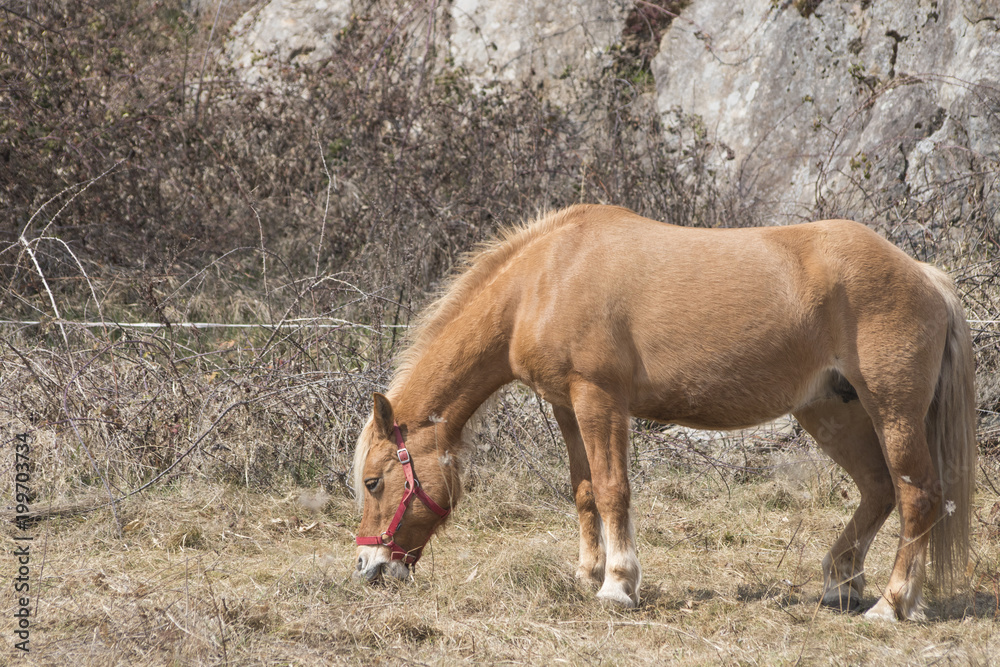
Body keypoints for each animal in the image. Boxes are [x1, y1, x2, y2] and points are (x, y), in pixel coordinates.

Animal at [351, 204, 976, 621]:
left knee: (917, 497)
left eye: (374, 480)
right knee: (878, 490)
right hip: (831, 413)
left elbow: (612, 489)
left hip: (892, 412)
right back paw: (841, 585)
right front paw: (588, 574)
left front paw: (617, 585)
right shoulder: (566, 406)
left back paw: (892, 605)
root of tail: (923, 273)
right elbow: (583, 490)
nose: (370, 569)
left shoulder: (599, 399)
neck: (545, 279)